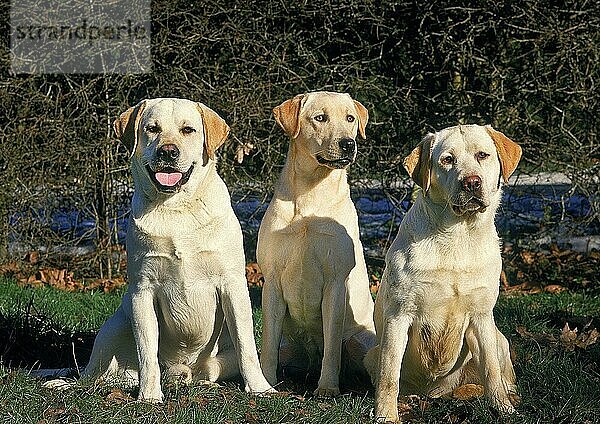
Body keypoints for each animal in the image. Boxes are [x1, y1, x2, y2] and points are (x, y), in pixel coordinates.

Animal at [34, 97, 274, 402]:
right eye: (152, 128)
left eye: (188, 130)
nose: (168, 151)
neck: (175, 207)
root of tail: (182, 372)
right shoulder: (143, 290)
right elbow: (147, 351)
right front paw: (149, 396)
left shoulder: (232, 284)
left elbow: (247, 346)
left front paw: (260, 388)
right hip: (115, 325)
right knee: (89, 378)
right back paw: (68, 384)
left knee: (211, 369)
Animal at [256, 91, 376, 396]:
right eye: (320, 118)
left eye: (350, 118)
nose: (348, 143)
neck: (312, 191)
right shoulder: (272, 282)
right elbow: (268, 344)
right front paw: (265, 382)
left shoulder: (335, 283)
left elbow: (331, 347)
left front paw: (328, 388)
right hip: (290, 347)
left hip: (358, 341)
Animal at [364, 122, 524, 420]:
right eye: (447, 160)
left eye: (482, 155)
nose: (471, 182)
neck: (457, 236)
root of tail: (437, 393)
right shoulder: (399, 316)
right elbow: (389, 376)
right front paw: (386, 415)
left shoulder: (481, 316)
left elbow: (491, 370)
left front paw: (503, 409)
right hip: (372, 354)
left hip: (500, 339)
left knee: (500, 376)